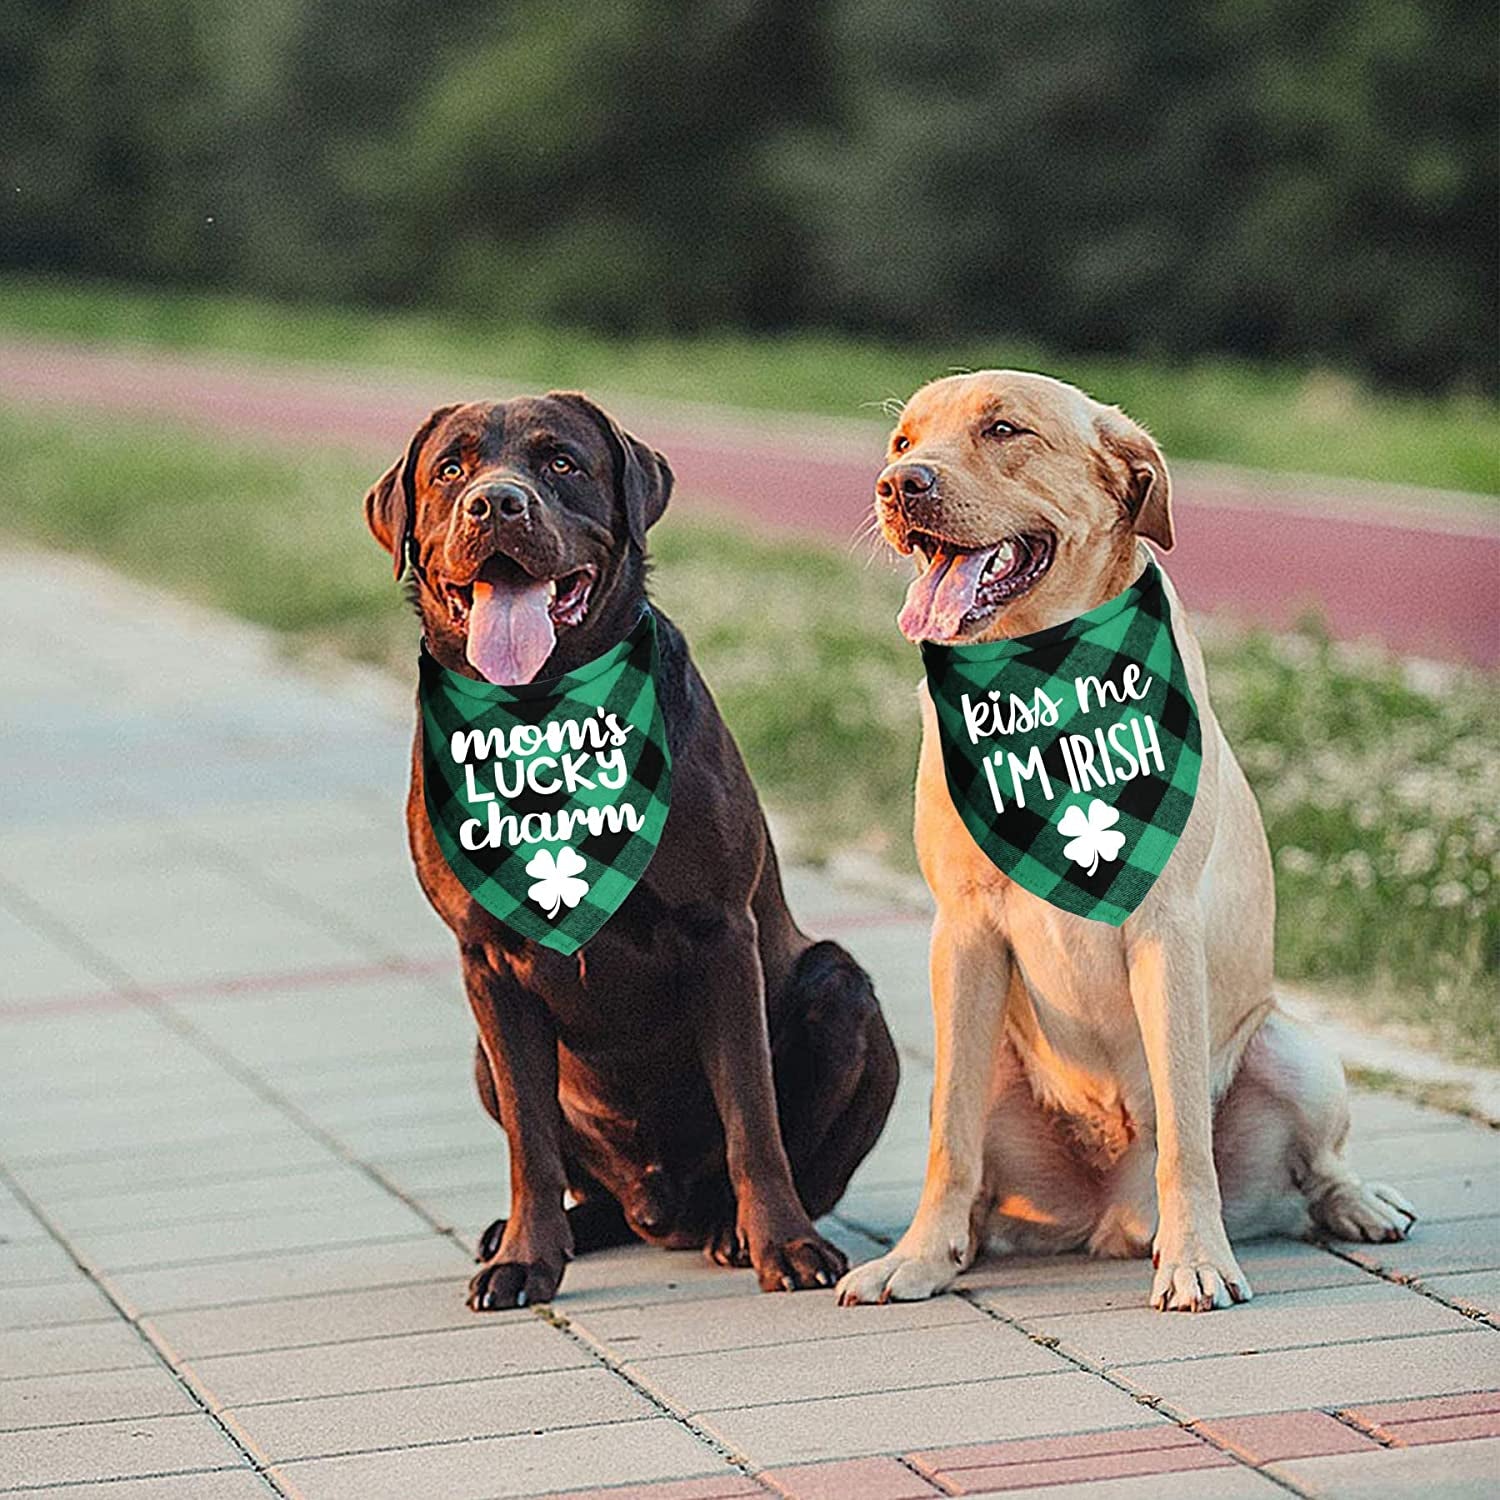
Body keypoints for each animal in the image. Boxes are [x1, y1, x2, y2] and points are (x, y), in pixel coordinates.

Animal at [367, 393, 894, 1308]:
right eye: (451, 469)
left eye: (562, 462)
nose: (496, 503)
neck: (543, 716)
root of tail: (660, 1212)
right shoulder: (486, 960)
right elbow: (531, 1142)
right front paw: (526, 1260)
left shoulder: (720, 933)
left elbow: (752, 1114)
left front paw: (785, 1246)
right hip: (481, 1053)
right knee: (576, 1174)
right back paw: (548, 1231)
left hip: (844, 992)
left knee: (804, 1145)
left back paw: (733, 1229)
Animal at [840, 372, 1410, 1314]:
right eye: (901, 441)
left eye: (1005, 430)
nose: (898, 486)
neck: (1039, 677)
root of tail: (1111, 1218)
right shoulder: (961, 933)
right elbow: (950, 1139)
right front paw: (917, 1256)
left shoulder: (1166, 934)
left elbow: (1184, 1131)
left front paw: (1197, 1259)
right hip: (997, 1061)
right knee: (970, 1156)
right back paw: (959, 1245)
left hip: (1291, 1049)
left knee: (1314, 1169)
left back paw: (1357, 1203)